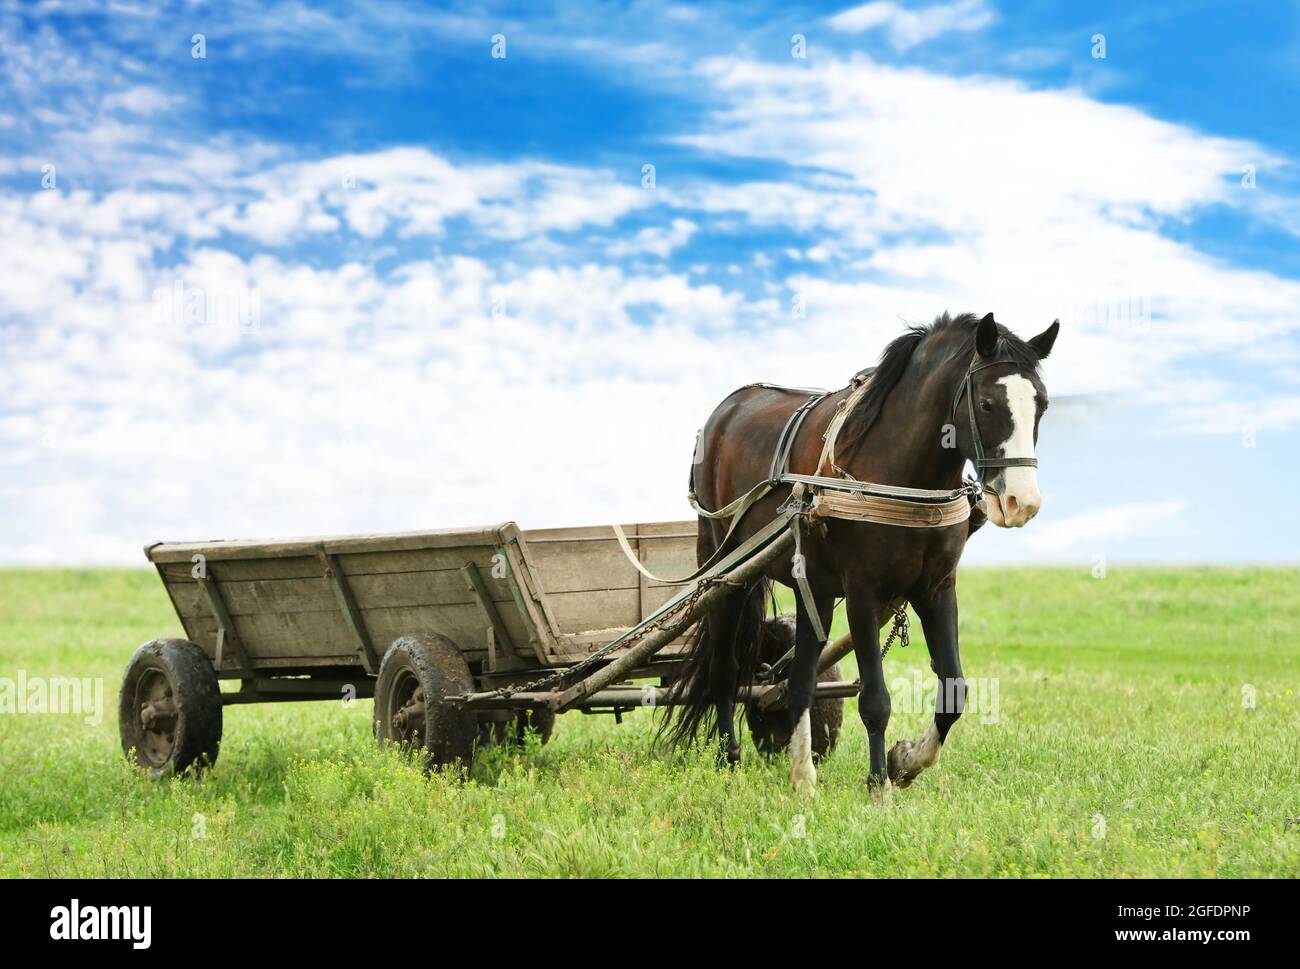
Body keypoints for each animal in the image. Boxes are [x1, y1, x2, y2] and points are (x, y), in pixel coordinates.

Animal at [660, 309, 1055, 796]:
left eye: (1042, 405)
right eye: (986, 404)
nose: (1022, 502)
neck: (900, 474)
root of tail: (726, 409)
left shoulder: (936, 588)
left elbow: (954, 690)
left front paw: (906, 761)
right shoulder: (863, 591)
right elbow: (875, 699)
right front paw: (878, 784)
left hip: (814, 584)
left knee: (799, 675)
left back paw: (802, 772)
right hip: (725, 568)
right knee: (725, 665)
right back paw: (728, 757)